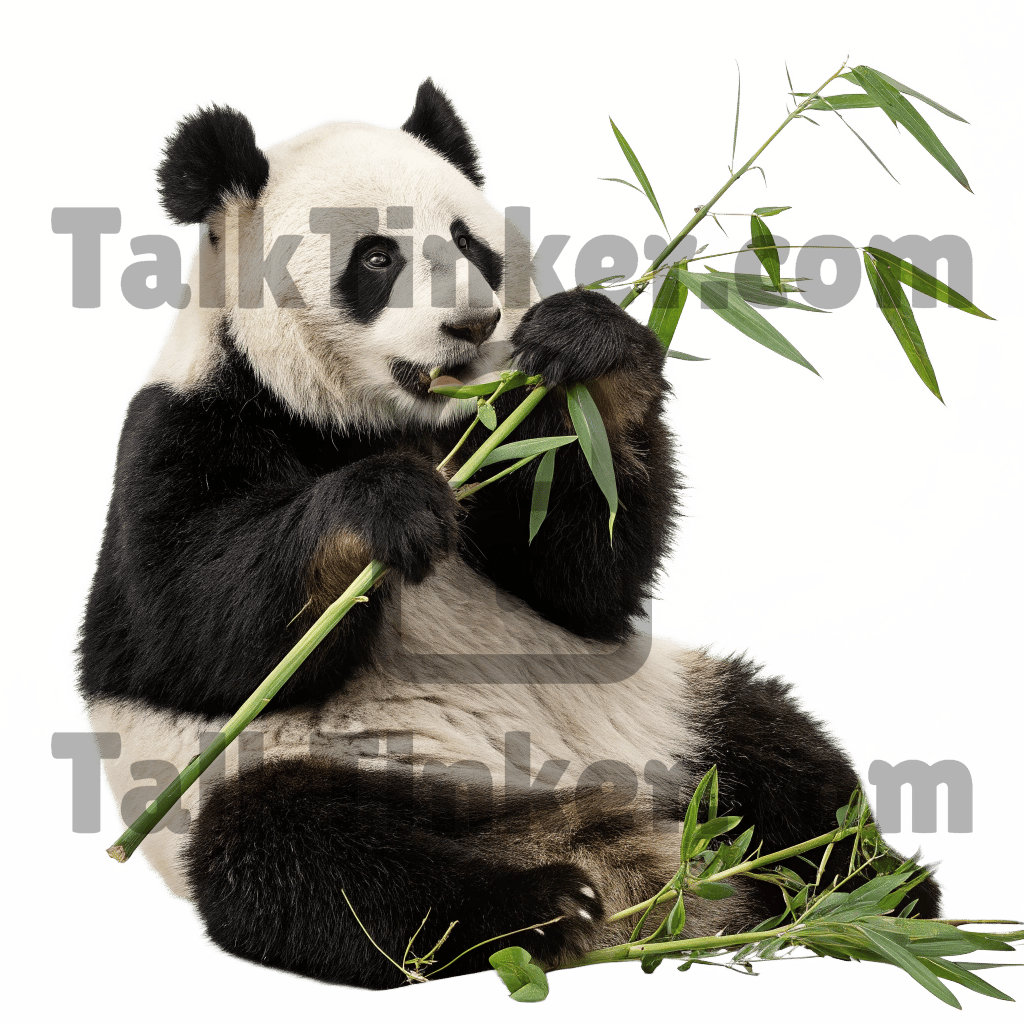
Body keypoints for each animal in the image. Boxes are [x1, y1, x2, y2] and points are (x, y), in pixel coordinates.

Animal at [78, 78, 940, 990]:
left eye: (470, 243)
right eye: (376, 259)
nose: (473, 324)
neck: (387, 424)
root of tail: (617, 849)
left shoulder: (500, 447)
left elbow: (587, 574)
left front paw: (589, 346)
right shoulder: (186, 431)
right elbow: (193, 632)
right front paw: (382, 509)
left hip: (664, 711)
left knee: (769, 744)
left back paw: (872, 887)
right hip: (314, 771)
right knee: (310, 858)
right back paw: (540, 909)